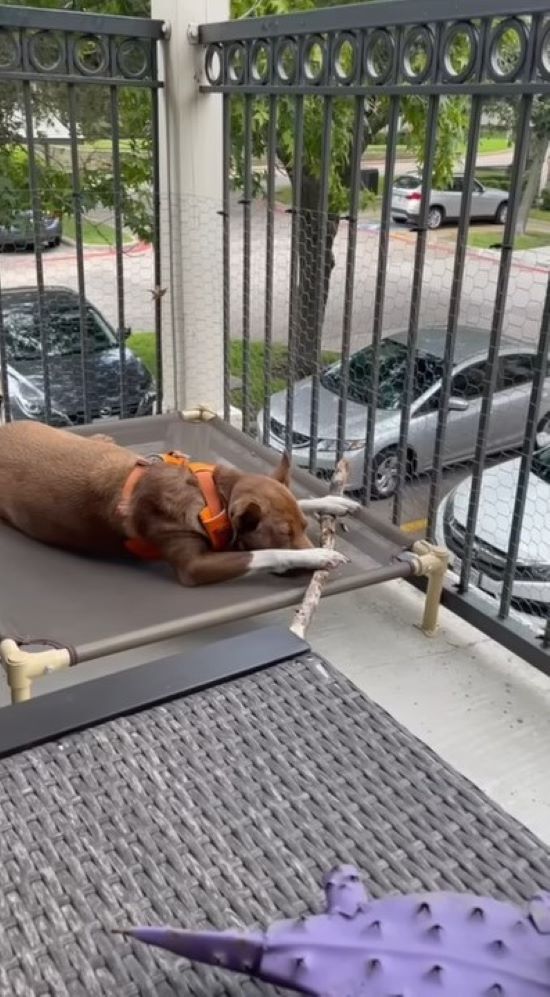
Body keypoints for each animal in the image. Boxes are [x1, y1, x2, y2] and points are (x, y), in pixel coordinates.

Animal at [0, 420, 360, 584]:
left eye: (303, 526)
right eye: (283, 535)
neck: (213, 500)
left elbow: (301, 499)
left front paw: (331, 501)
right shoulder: (194, 567)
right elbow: (263, 554)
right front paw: (318, 555)